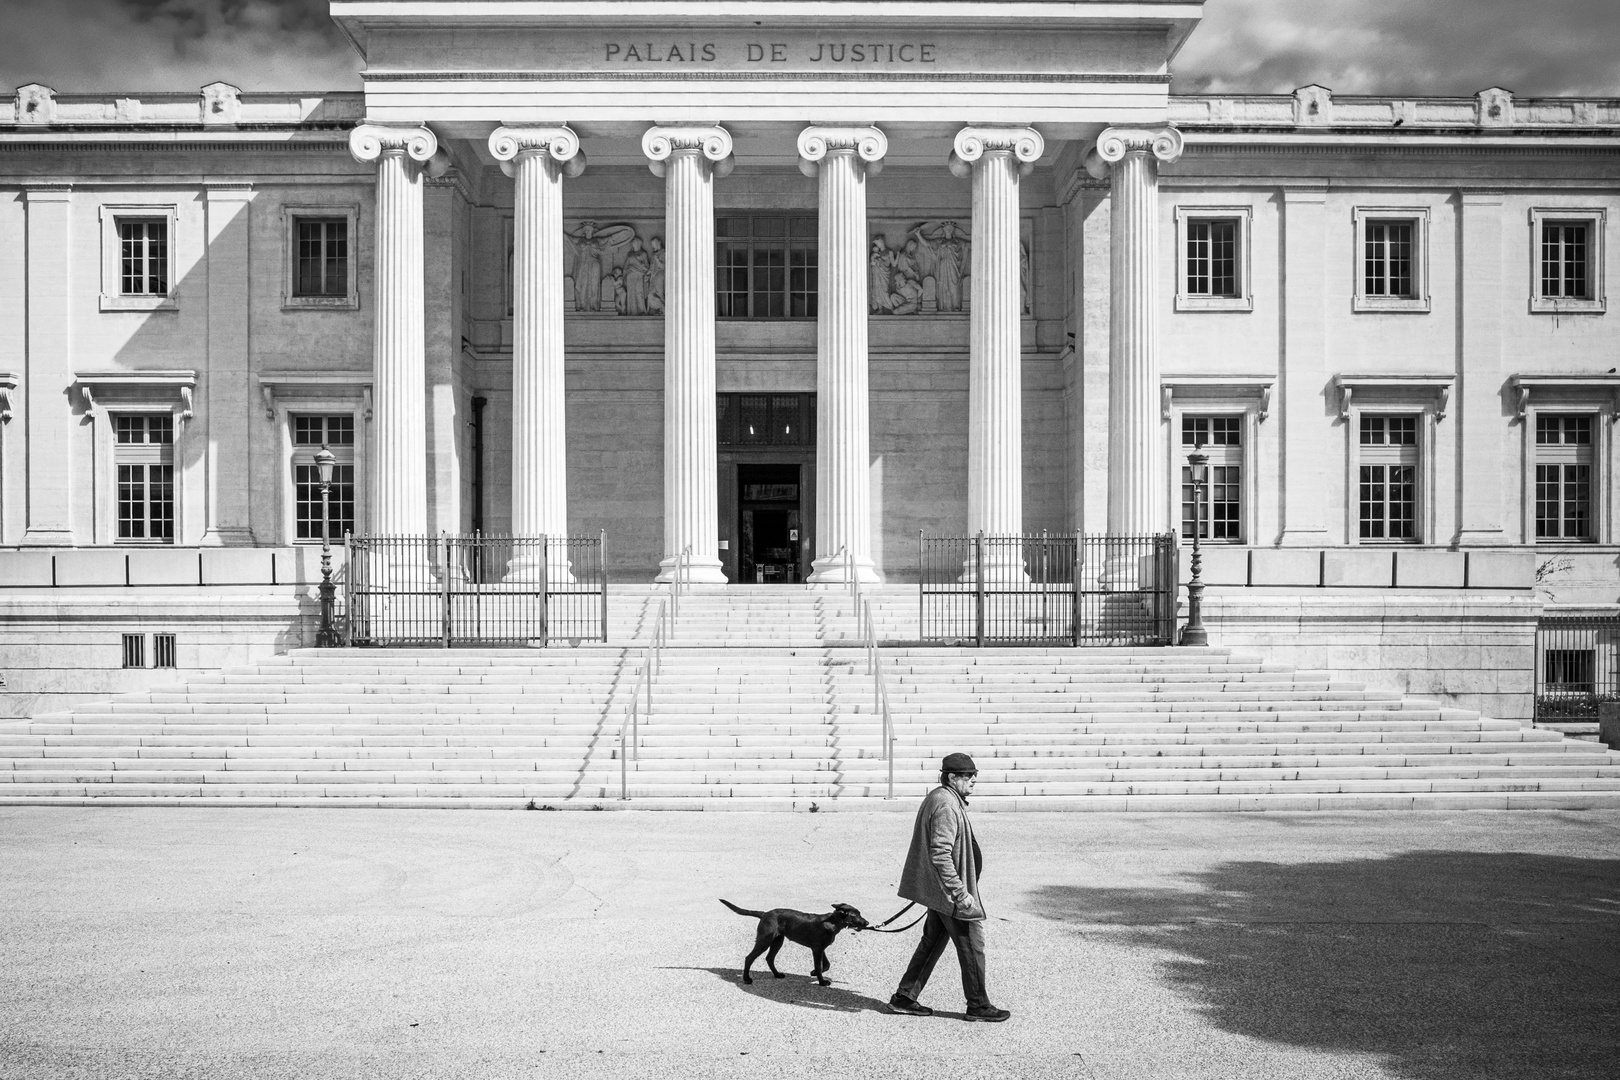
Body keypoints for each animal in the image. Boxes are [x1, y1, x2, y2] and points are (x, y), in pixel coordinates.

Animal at [722, 893, 874, 990]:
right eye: (856, 915)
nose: (867, 922)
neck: (832, 922)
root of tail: (764, 914)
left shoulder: (820, 948)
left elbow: (826, 964)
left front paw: (814, 973)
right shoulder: (817, 949)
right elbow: (820, 966)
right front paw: (822, 981)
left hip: (778, 940)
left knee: (769, 958)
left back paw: (777, 974)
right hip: (765, 940)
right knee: (749, 958)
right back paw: (746, 979)